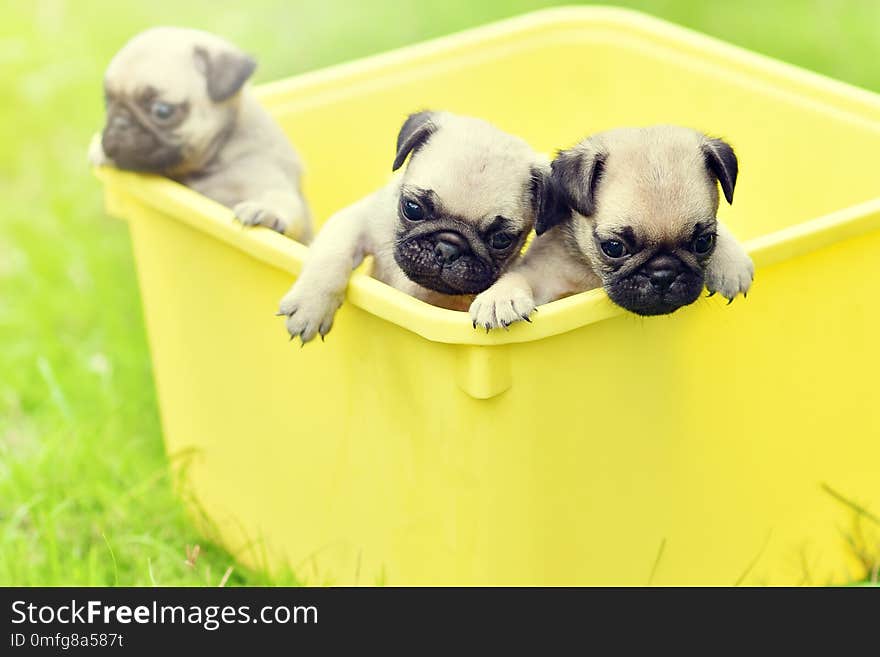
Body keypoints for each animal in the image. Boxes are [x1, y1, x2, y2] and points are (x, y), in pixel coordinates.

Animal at [89, 26, 312, 241]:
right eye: (107, 103)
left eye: (162, 111)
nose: (120, 122)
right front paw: (98, 151)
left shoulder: (263, 174)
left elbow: (279, 197)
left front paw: (265, 211)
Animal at [280, 109, 556, 344]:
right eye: (413, 208)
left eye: (500, 240)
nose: (447, 248)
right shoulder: (359, 220)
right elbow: (331, 257)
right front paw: (310, 306)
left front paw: (501, 299)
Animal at [470, 123, 752, 328]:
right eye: (614, 248)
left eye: (704, 243)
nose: (663, 274)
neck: (595, 274)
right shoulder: (545, 273)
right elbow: (520, 276)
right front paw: (500, 298)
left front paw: (731, 264)